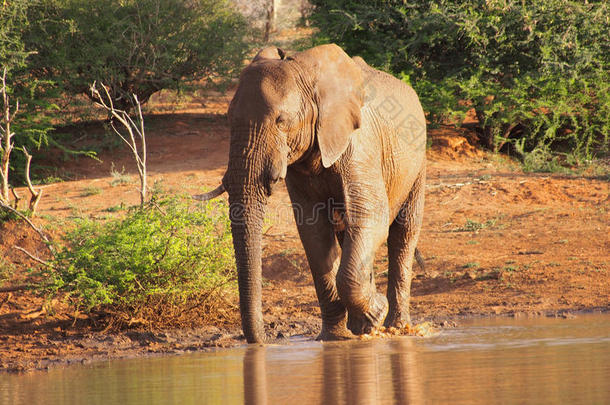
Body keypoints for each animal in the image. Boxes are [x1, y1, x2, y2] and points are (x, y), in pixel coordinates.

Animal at [197, 43, 426, 340]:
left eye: (281, 121)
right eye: (228, 120)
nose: (263, 339)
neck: (306, 72)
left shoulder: (360, 146)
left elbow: (371, 215)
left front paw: (376, 311)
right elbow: (313, 232)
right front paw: (336, 337)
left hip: (418, 161)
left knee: (403, 232)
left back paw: (395, 326)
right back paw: (362, 328)